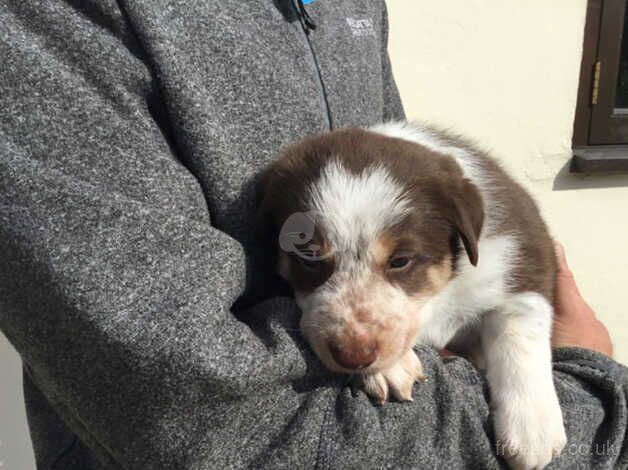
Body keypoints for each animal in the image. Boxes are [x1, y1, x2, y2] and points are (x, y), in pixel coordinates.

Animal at [258, 121, 568, 470]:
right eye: (309, 258)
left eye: (400, 261)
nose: (353, 355)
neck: (442, 291)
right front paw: (389, 368)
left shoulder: (522, 257)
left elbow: (519, 331)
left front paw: (533, 430)